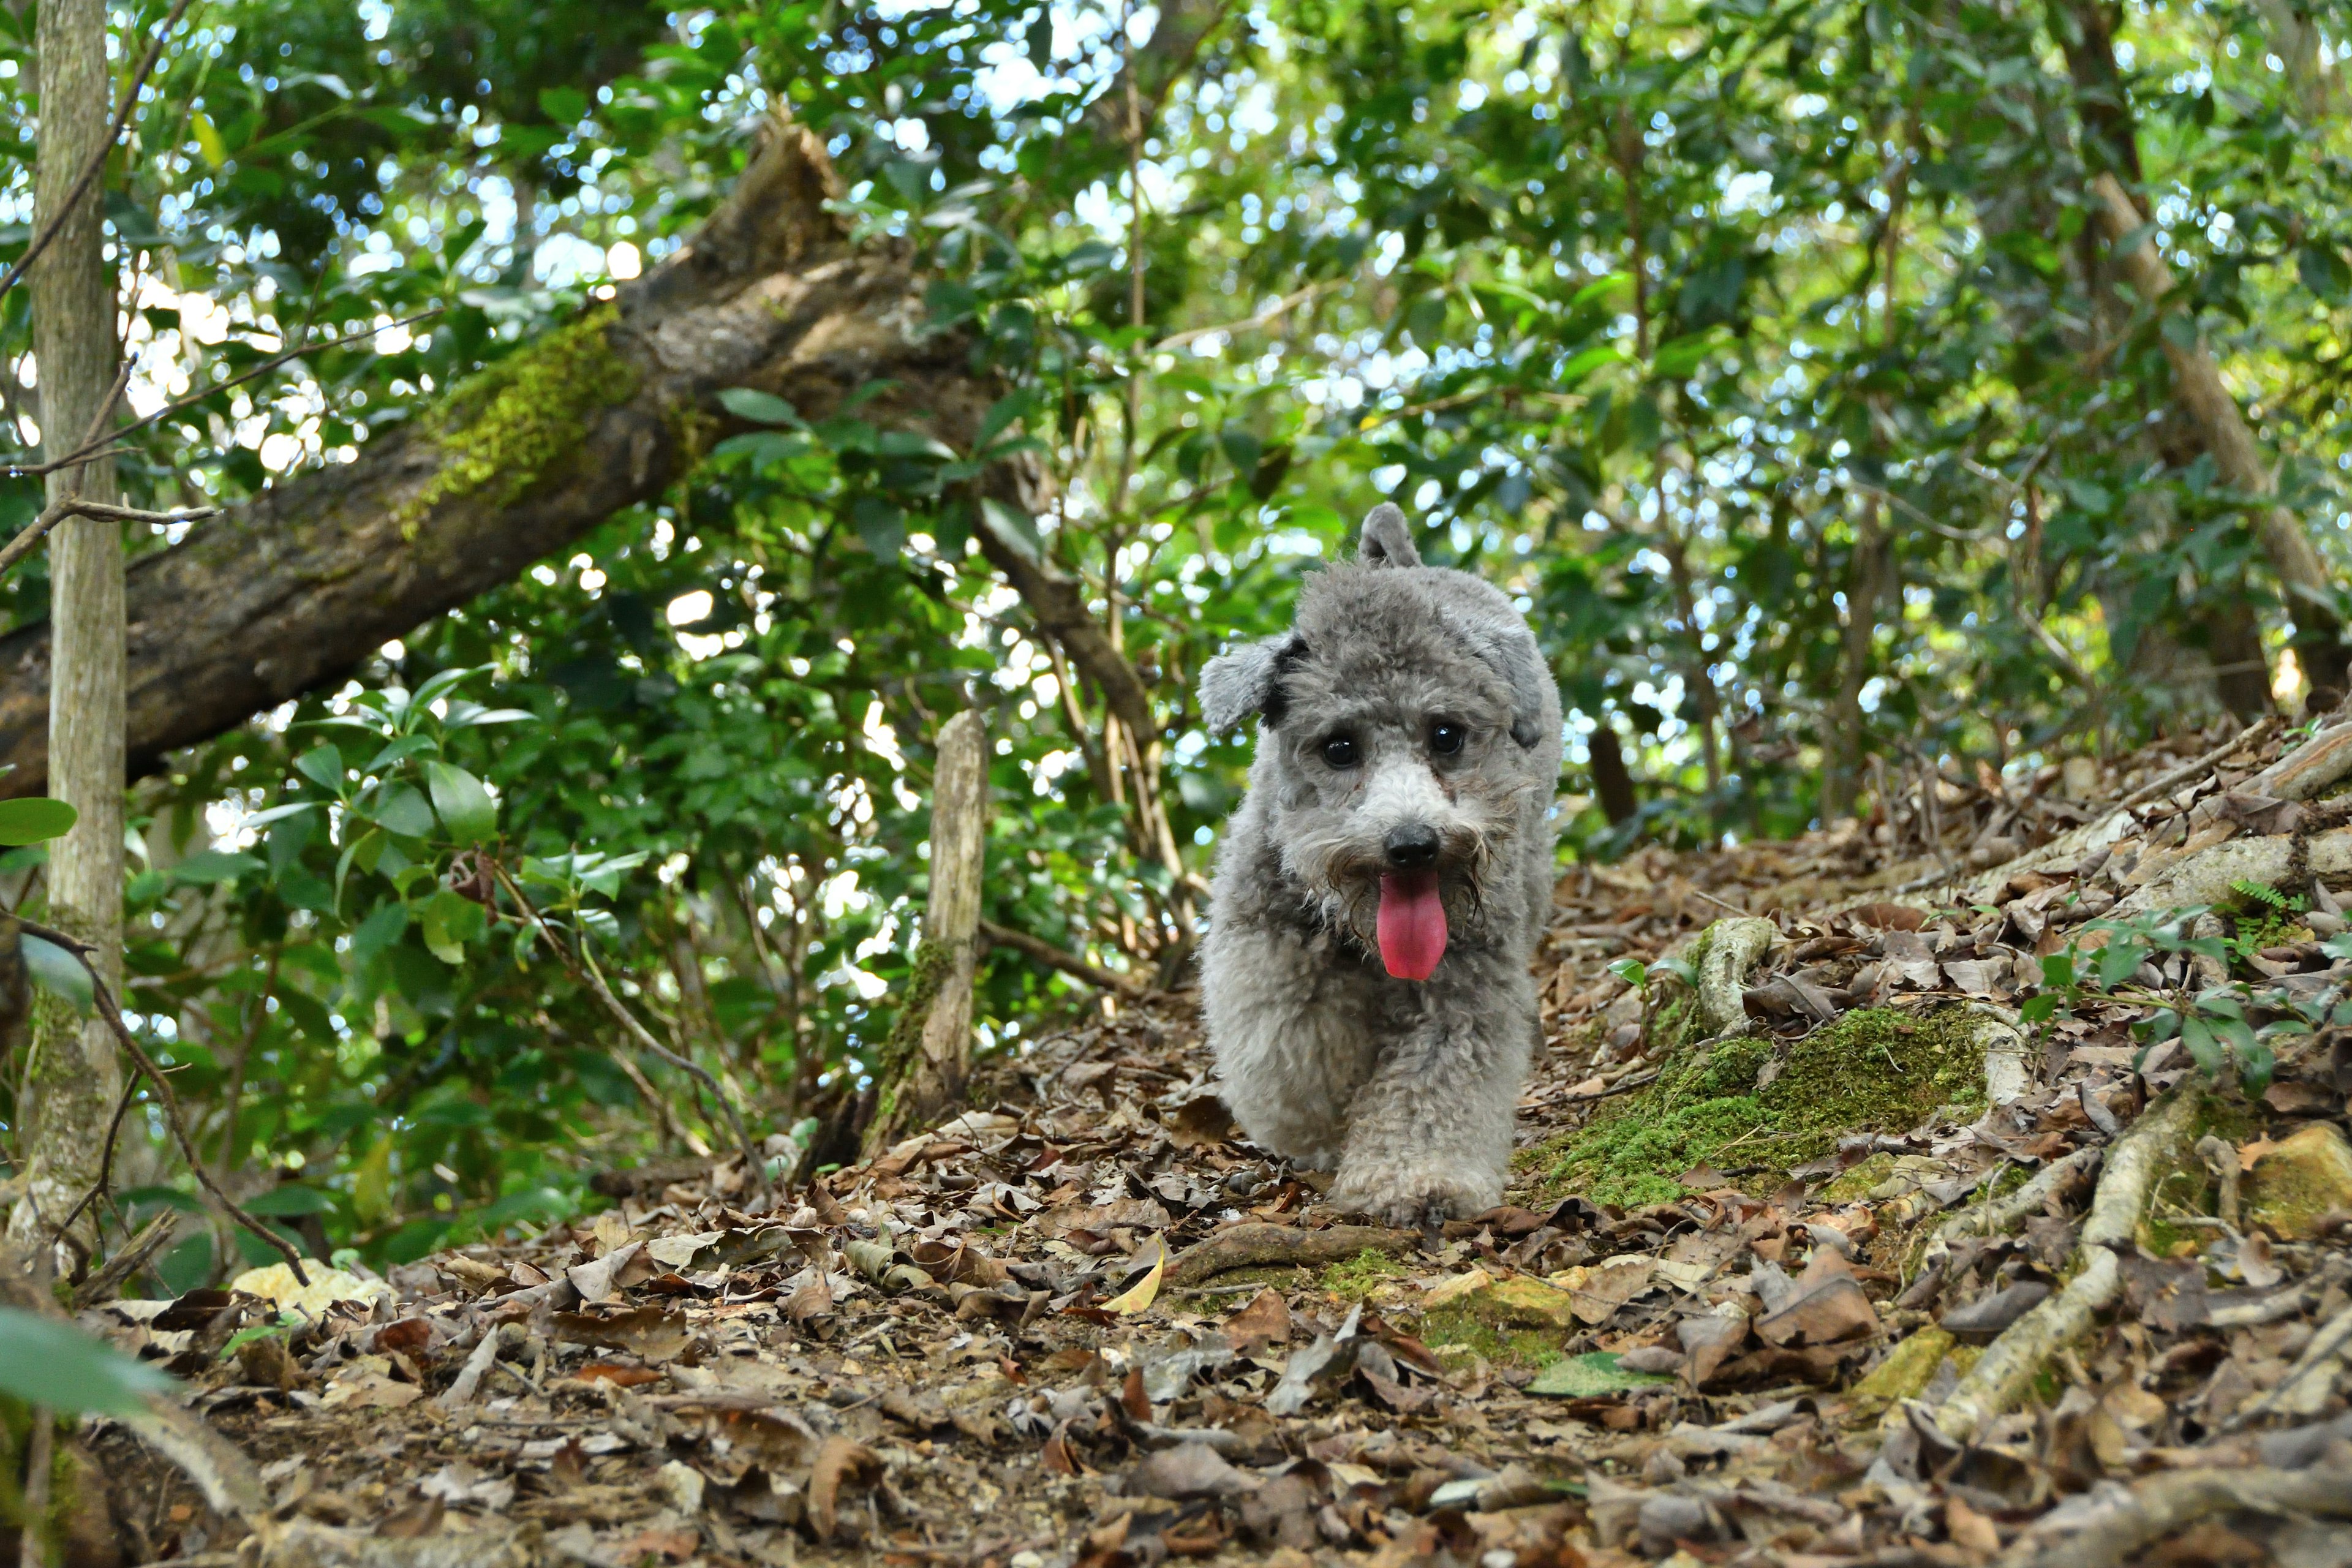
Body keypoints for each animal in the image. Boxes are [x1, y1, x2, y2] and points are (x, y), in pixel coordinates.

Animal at [1194, 503, 1561, 1222]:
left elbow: (1436, 1074)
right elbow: (1292, 1049)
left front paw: (1419, 1177)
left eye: (1446, 735)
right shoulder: (1266, 946)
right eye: (1339, 748)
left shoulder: (1463, 982)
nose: (1413, 843)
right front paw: (1316, 1124)